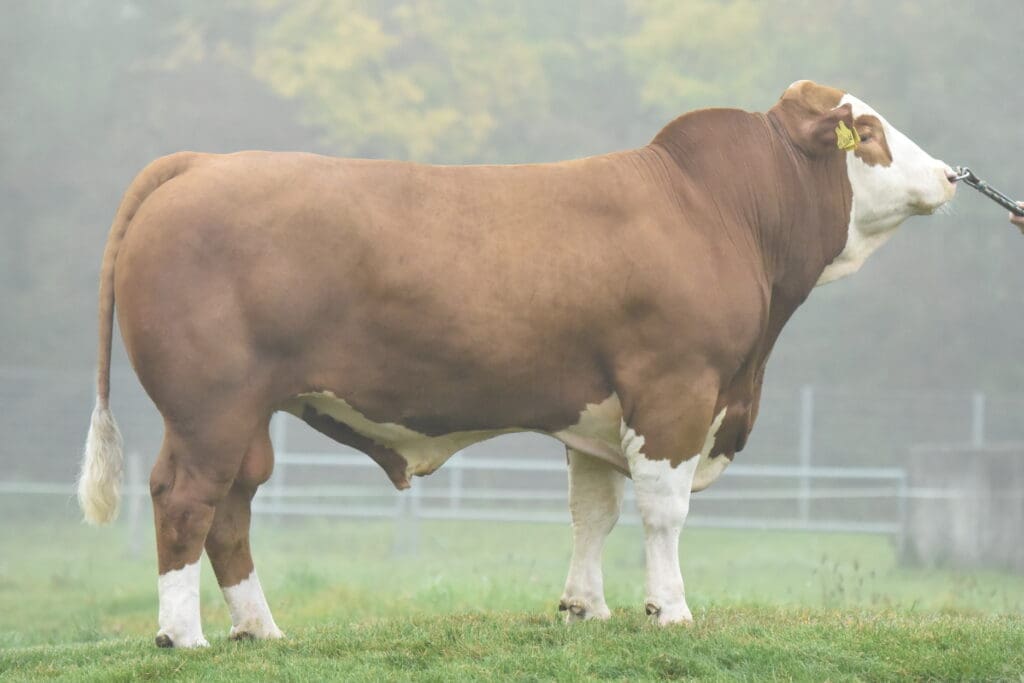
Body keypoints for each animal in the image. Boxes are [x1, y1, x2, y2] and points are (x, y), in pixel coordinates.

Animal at [77, 80, 950, 647]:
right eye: (869, 132)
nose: (949, 174)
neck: (718, 209)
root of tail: (201, 162)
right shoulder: (675, 390)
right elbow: (662, 510)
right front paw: (669, 610)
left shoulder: (600, 407)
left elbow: (592, 511)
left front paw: (586, 608)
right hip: (209, 408)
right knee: (186, 498)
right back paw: (182, 634)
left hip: (246, 414)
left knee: (234, 505)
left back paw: (260, 629)